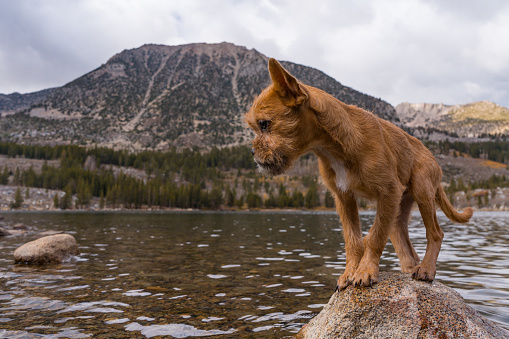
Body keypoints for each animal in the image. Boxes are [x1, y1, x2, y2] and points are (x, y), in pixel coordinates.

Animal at [246, 57, 472, 290]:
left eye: (264, 124)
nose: (252, 152)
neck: (335, 148)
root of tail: (432, 157)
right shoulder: (344, 198)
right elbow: (353, 240)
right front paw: (349, 273)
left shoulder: (388, 191)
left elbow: (374, 237)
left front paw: (365, 271)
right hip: (399, 209)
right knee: (403, 241)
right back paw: (411, 269)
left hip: (422, 190)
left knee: (435, 233)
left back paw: (426, 269)